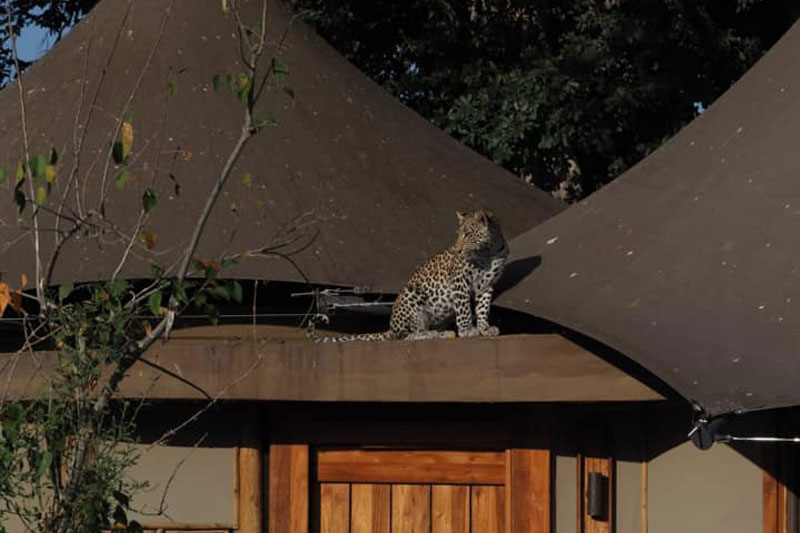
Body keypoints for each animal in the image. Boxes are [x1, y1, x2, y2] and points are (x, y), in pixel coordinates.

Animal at [306, 209, 508, 342]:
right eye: (459, 235)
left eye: (467, 234)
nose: (457, 250)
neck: (487, 252)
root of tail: (390, 328)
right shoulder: (460, 280)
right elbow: (464, 307)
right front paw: (467, 330)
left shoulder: (487, 285)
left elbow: (483, 308)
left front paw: (484, 328)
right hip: (412, 294)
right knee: (405, 335)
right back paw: (429, 334)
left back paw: (444, 333)